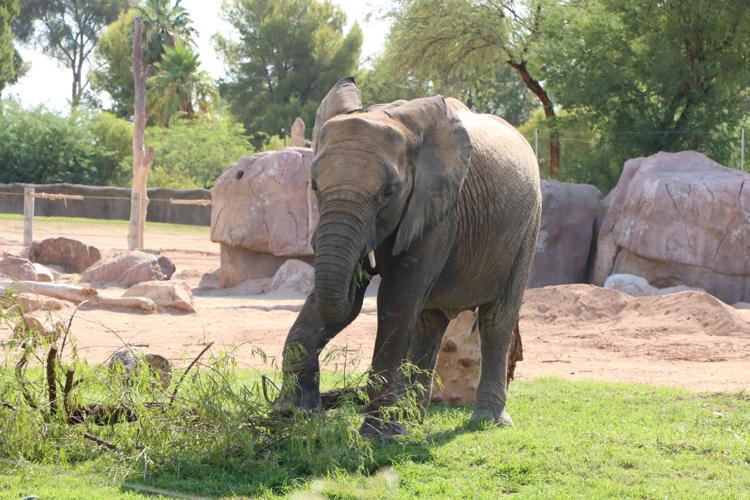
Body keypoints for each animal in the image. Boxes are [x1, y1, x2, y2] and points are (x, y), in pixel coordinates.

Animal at [273, 76, 541, 438]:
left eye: (388, 192)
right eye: (314, 186)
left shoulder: (438, 209)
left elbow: (396, 300)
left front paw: (379, 435)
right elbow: (347, 299)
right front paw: (291, 413)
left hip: (528, 227)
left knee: (496, 319)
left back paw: (486, 420)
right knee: (430, 321)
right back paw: (412, 421)